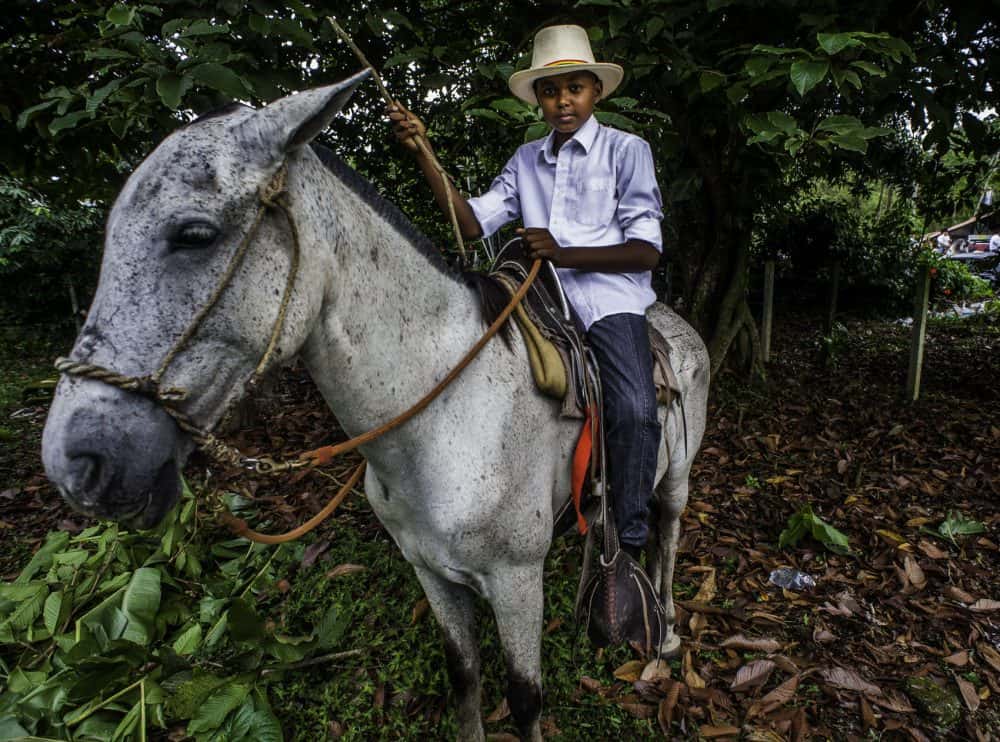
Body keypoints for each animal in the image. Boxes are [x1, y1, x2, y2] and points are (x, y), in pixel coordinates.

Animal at [41, 71, 712, 742]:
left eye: (195, 234)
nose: (79, 463)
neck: (445, 423)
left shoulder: (515, 579)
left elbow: (525, 697)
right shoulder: (431, 570)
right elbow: (463, 674)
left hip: (676, 476)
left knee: (666, 536)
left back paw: (664, 632)